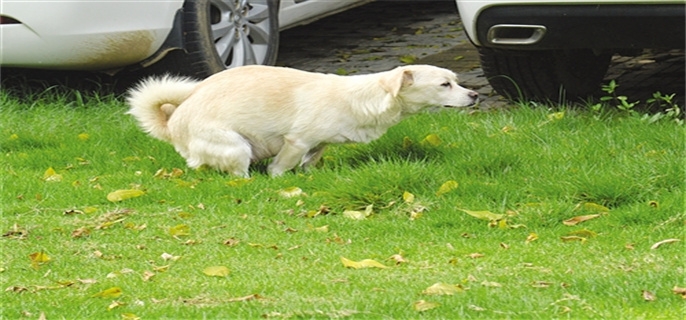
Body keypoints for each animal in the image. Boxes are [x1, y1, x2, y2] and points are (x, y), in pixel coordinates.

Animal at [127, 63, 478, 176]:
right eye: (444, 85)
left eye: (457, 81)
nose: (475, 95)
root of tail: (173, 124)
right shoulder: (296, 142)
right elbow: (280, 168)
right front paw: (281, 179)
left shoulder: (318, 144)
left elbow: (312, 160)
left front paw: (310, 176)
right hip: (236, 146)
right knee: (238, 172)